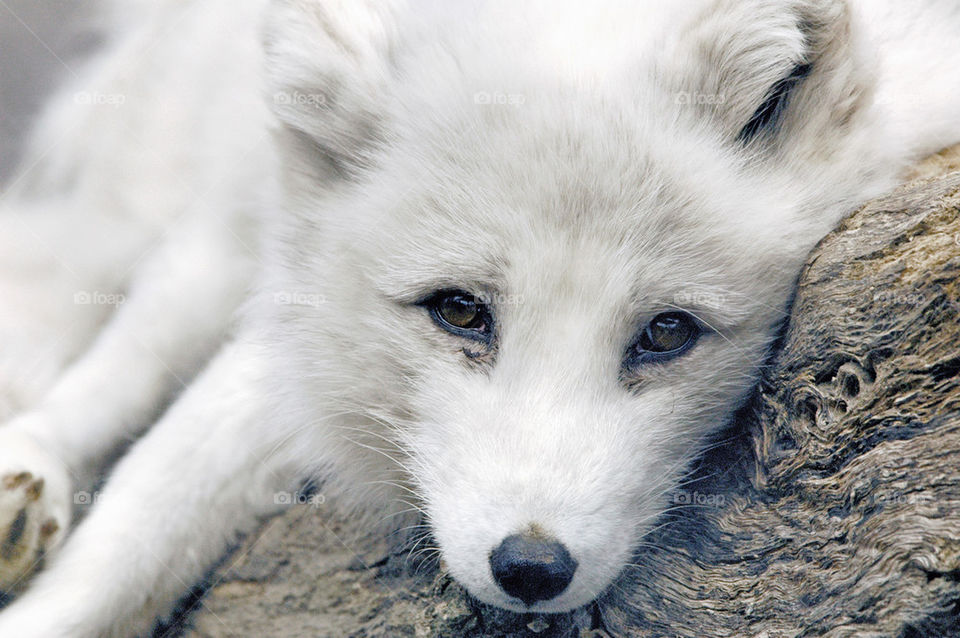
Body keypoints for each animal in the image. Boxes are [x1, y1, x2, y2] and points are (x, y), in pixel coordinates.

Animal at [0, 0, 959, 635]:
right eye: (459, 311)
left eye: (667, 333)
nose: (531, 568)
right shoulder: (311, 332)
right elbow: (144, 515)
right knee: (128, 347)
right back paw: (30, 471)